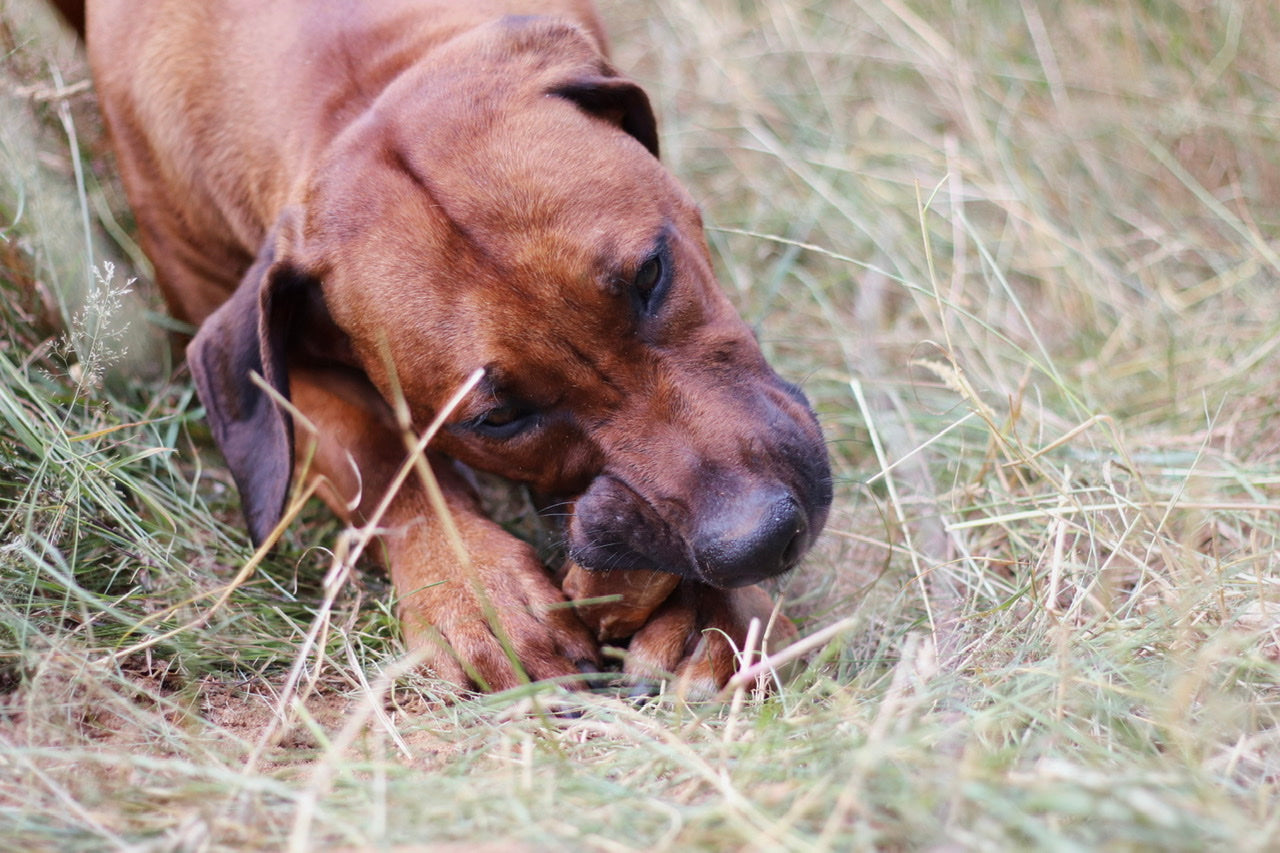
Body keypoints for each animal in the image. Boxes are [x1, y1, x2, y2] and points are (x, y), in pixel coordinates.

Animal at [70, 0, 829, 691]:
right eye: (499, 418)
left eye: (651, 274)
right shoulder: (249, 350)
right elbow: (378, 454)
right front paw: (474, 586)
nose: (761, 537)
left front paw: (709, 613)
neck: (351, 74)